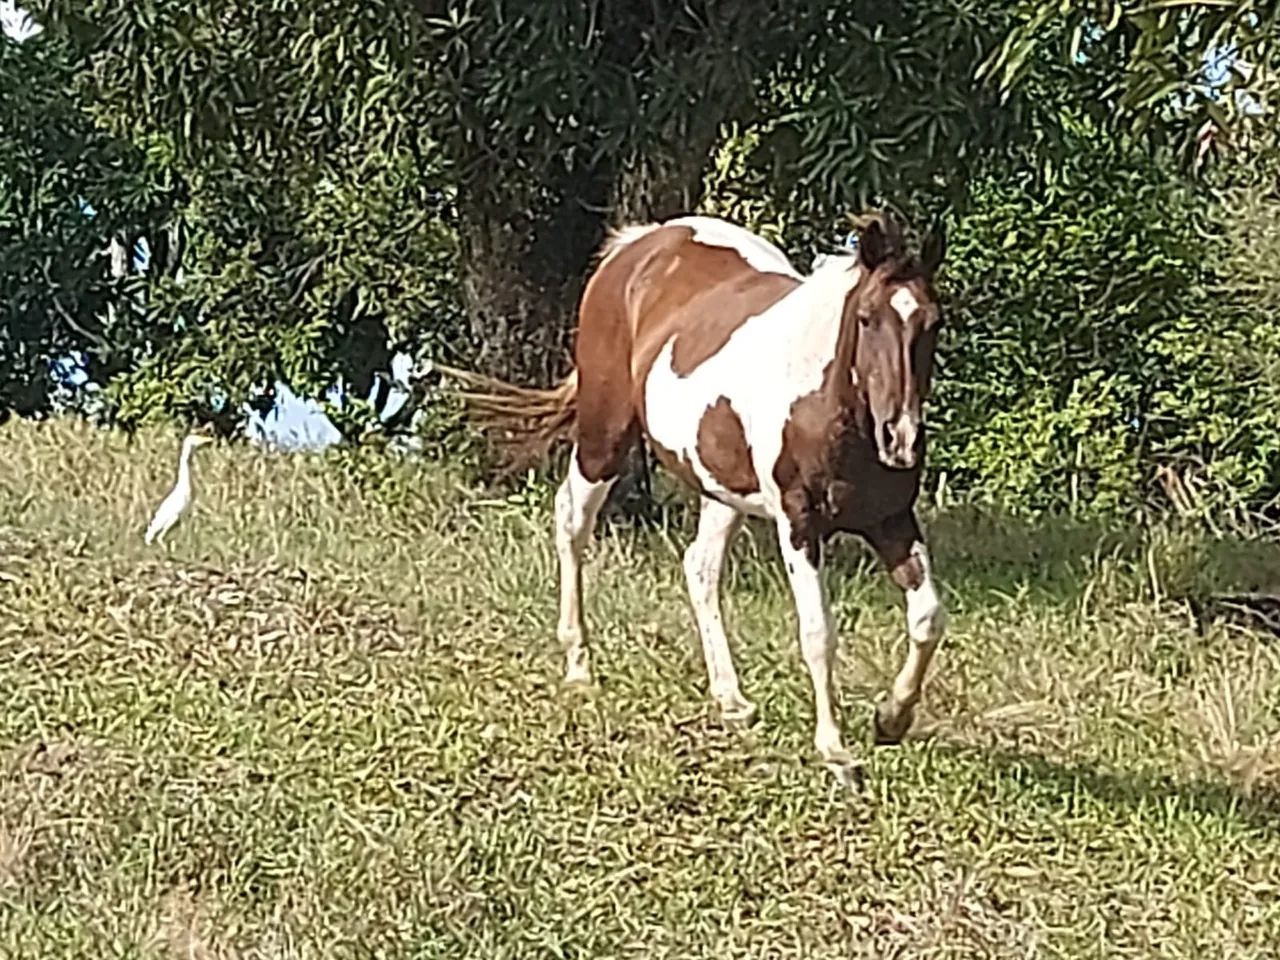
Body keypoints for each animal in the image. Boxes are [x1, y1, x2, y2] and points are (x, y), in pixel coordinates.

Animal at [445, 212, 947, 786]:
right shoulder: (798, 523)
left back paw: (730, 698)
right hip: (604, 435)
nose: (900, 438)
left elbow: (929, 617)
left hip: (720, 487)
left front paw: (892, 717)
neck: (830, 405)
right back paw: (579, 664)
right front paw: (836, 751)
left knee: (699, 567)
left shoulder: (891, 521)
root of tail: (640, 242)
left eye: (933, 324)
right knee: (572, 521)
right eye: (866, 318)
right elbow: (818, 631)